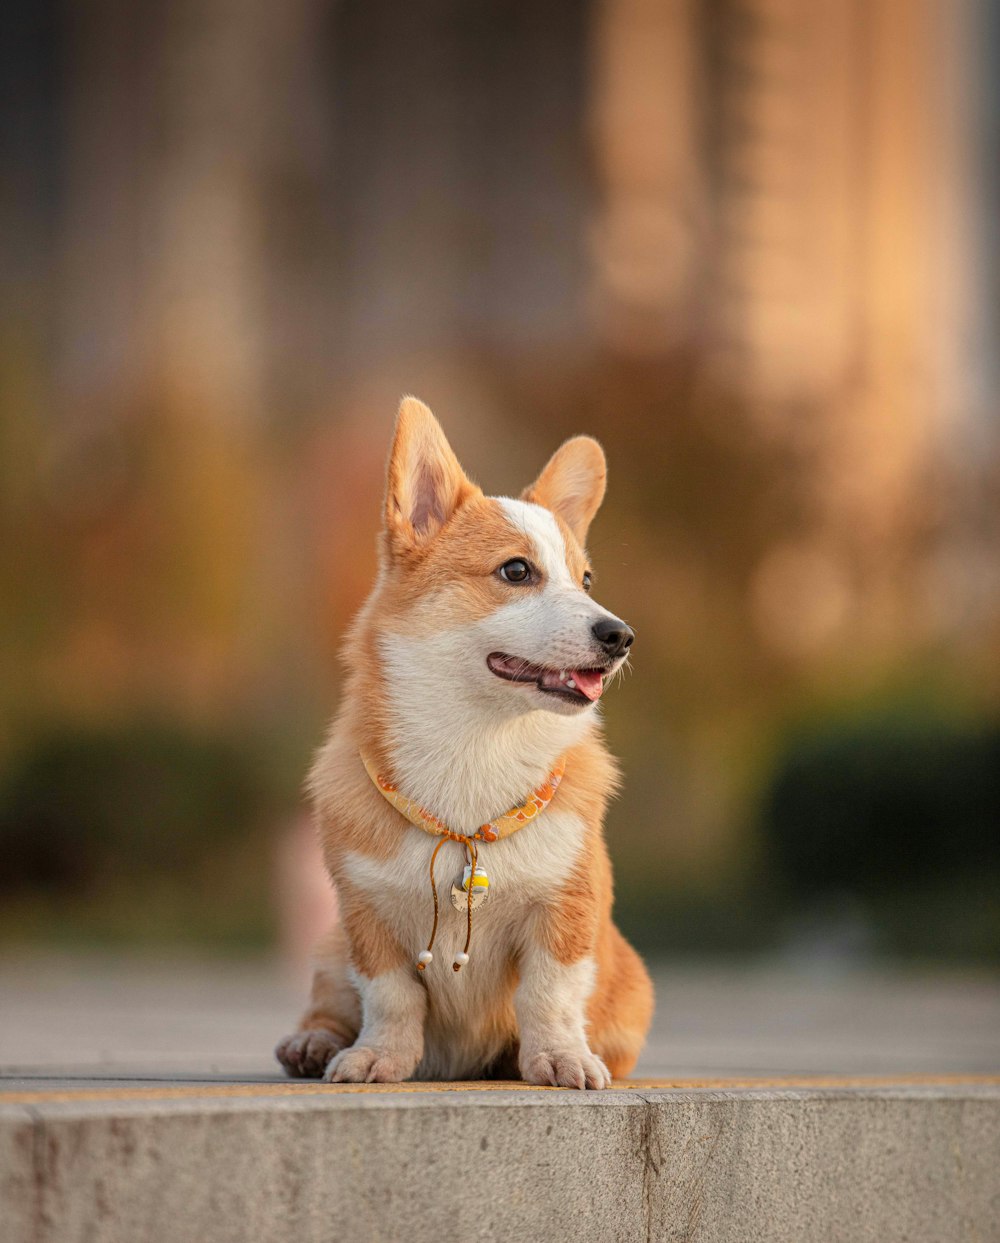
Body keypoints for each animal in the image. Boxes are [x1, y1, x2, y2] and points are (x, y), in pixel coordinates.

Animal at [277, 397, 655, 1088]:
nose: (620, 636)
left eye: (586, 580)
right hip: (329, 944)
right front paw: (379, 1057)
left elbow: (549, 993)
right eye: (517, 570)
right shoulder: (366, 918)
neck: (476, 745)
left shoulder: (565, 912)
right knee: (329, 1004)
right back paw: (312, 1043)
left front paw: (559, 1059)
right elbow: (390, 995)